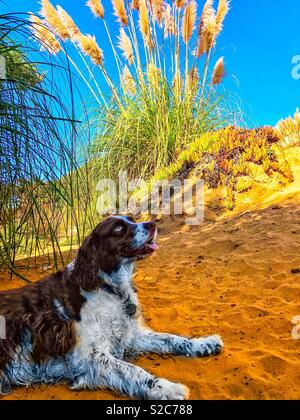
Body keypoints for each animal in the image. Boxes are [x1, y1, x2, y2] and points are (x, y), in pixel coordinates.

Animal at [0, 217, 223, 400]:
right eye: (118, 228)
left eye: (131, 218)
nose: (152, 223)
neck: (108, 288)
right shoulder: (91, 358)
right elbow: (134, 371)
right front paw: (166, 388)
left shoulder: (131, 335)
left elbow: (171, 338)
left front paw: (203, 343)